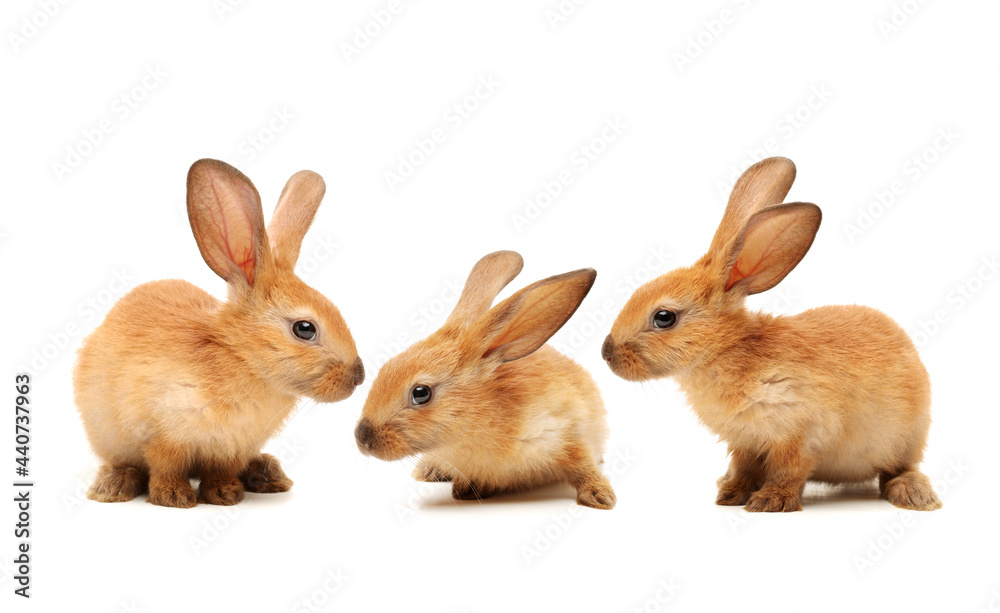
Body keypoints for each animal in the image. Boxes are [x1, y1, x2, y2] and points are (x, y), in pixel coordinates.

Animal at [73, 159, 364, 508]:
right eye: (304, 329)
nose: (359, 376)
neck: (240, 357)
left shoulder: (230, 450)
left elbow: (220, 471)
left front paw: (225, 494)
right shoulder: (162, 435)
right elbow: (166, 467)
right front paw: (175, 498)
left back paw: (267, 474)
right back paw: (112, 486)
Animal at [354, 251, 616, 509]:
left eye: (421, 393)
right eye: (385, 368)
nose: (362, 437)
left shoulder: (567, 433)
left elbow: (583, 467)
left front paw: (601, 496)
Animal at [601, 157, 941, 513]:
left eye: (664, 317)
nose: (606, 352)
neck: (726, 350)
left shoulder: (799, 435)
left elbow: (788, 471)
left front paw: (769, 502)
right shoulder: (745, 442)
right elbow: (745, 469)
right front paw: (731, 495)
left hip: (906, 440)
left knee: (900, 469)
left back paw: (914, 494)